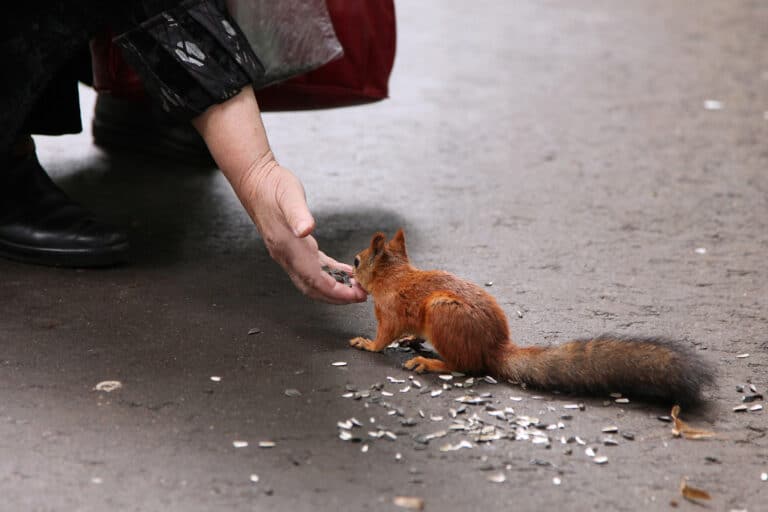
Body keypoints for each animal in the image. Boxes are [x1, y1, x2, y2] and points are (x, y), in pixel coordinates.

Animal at [349, 229, 714, 406]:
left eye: (356, 260)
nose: (349, 272)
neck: (394, 276)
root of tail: (495, 346)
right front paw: (411, 338)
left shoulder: (389, 313)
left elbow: (384, 337)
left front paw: (367, 343)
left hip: (443, 314)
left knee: (466, 366)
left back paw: (431, 363)